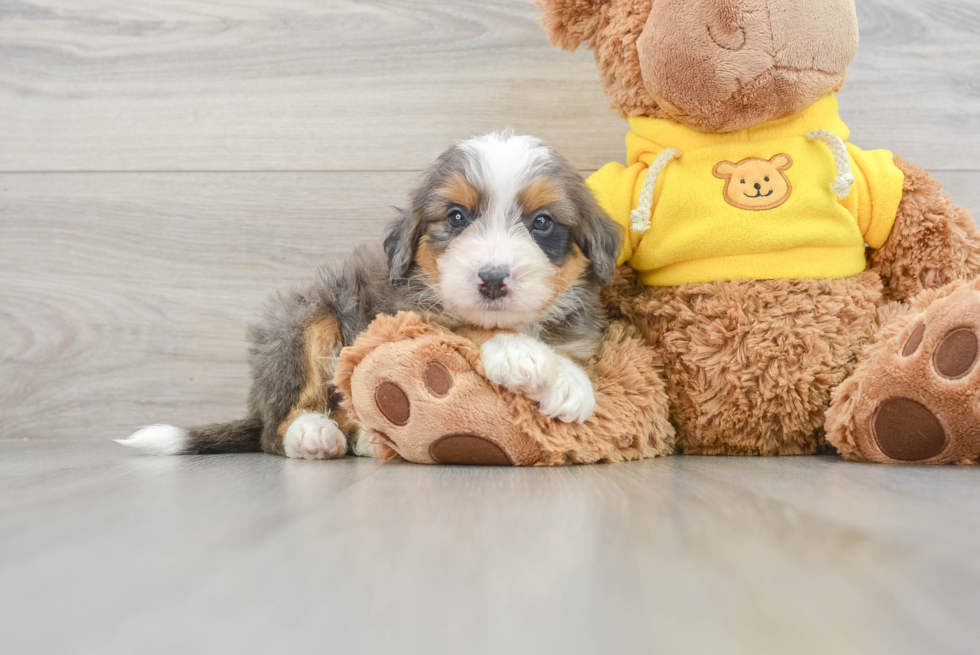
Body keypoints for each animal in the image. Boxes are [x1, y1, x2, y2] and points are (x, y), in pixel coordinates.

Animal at [117, 132, 620, 462]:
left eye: (542, 223)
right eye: (456, 217)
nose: (493, 279)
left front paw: (568, 377)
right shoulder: (406, 316)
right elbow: (467, 331)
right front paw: (529, 359)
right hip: (306, 320)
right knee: (275, 428)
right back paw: (313, 434)